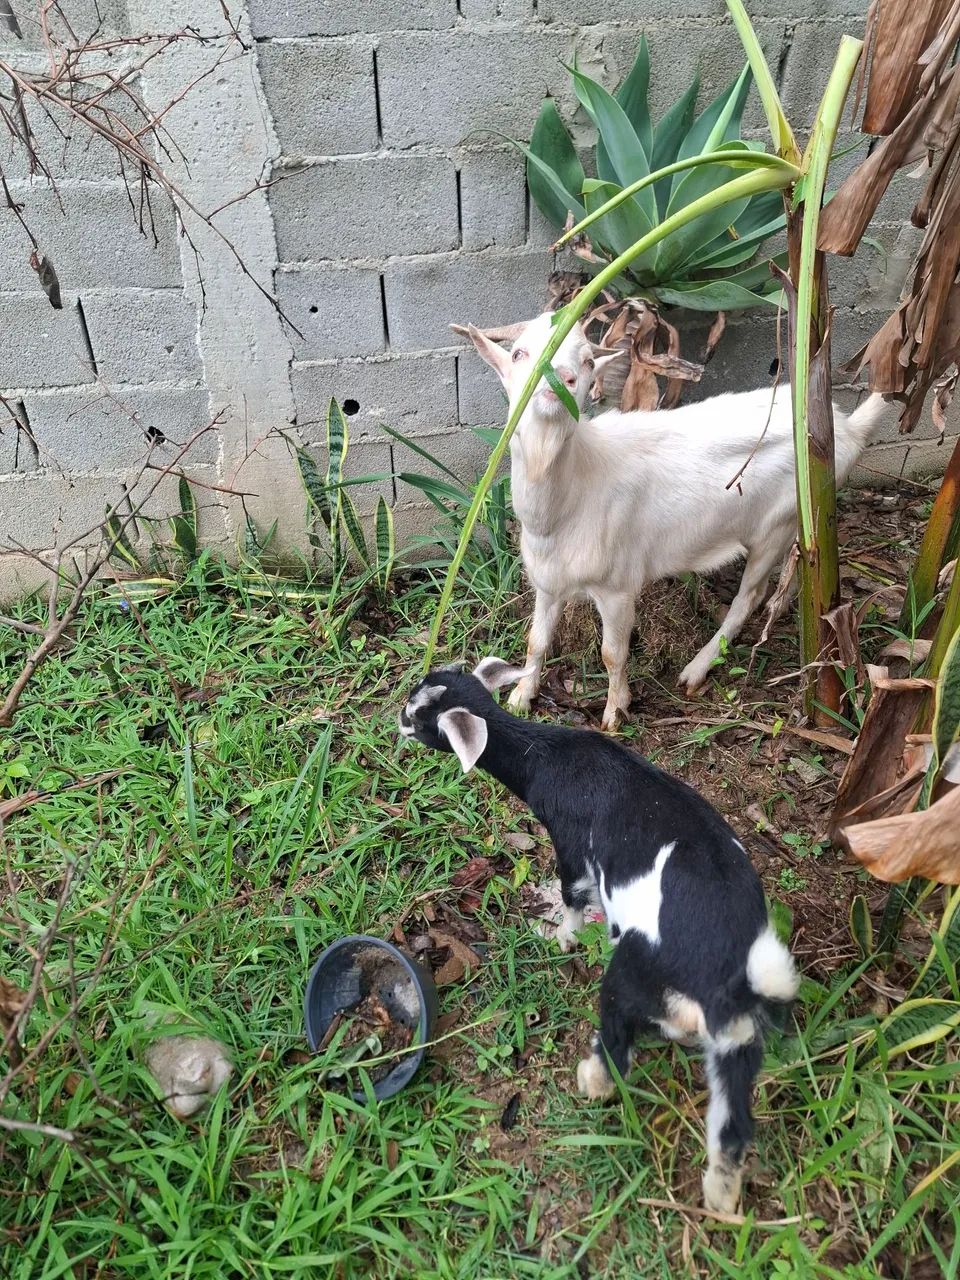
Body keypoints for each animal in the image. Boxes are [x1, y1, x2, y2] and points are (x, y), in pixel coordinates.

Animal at [398, 656, 799, 1214]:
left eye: (420, 718)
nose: (396, 719)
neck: (545, 757)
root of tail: (725, 982)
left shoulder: (571, 843)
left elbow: (573, 895)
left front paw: (559, 936)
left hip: (633, 976)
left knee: (616, 1038)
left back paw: (591, 1080)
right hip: (737, 1042)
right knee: (732, 1126)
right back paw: (720, 1198)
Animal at [454, 313, 886, 730]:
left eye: (589, 361)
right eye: (519, 354)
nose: (562, 379)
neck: (570, 494)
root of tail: (845, 428)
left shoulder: (618, 585)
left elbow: (612, 653)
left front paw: (616, 711)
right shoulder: (547, 581)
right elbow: (537, 641)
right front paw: (520, 696)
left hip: (779, 523)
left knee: (750, 595)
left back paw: (696, 668)